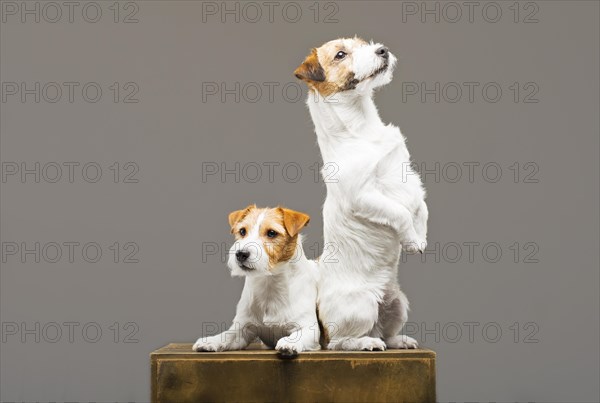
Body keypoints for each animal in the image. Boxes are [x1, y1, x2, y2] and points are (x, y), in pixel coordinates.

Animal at [195, 205, 322, 356]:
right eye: (242, 231)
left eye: (272, 233)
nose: (241, 254)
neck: (269, 283)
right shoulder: (242, 328)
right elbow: (226, 335)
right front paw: (211, 341)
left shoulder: (309, 328)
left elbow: (299, 334)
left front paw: (289, 342)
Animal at [294, 38, 426, 354]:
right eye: (341, 54)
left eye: (364, 43)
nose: (382, 50)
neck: (362, 128)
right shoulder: (364, 197)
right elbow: (401, 213)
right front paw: (412, 241)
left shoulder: (407, 176)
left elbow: (421, 207)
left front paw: (422, 235)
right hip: (362, 306)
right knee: (339, 342)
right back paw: (366, 343)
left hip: (398, 304)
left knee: (386, 333)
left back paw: (398, 340)